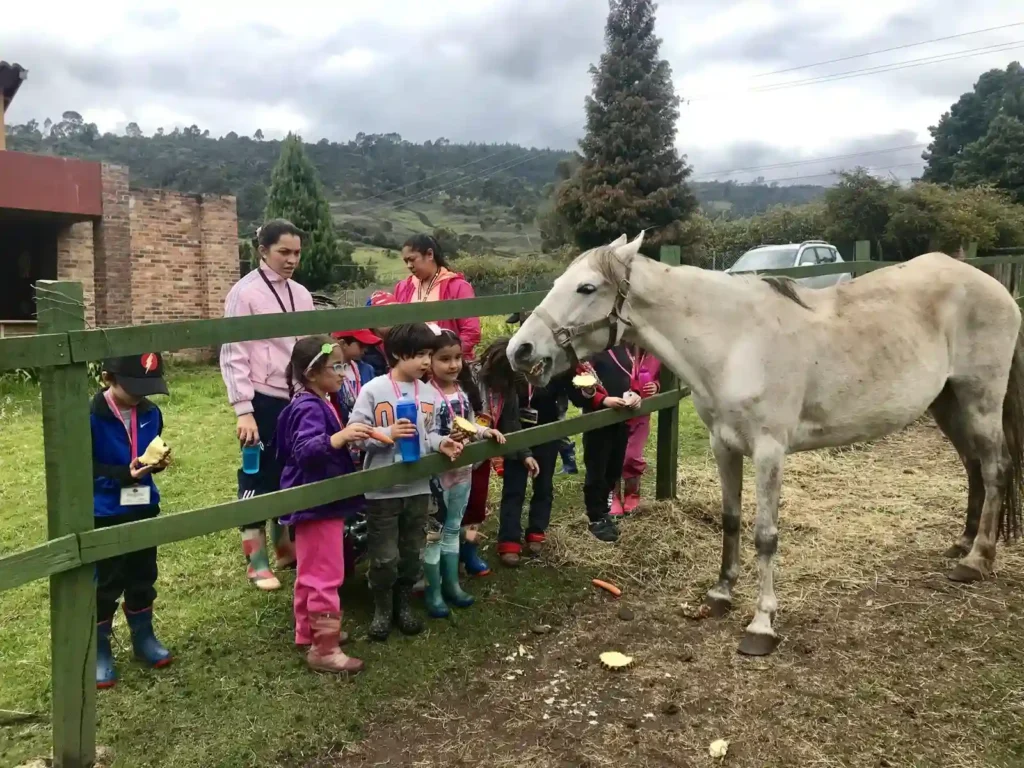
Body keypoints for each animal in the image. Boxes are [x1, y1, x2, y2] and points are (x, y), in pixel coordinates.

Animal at [506, 231, 1024, 656]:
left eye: (587, 288)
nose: (520, 350)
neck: (734, 342)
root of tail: (992, 284)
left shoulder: (769, 452)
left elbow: (765, 535)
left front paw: (761, 624)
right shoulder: (724, 445)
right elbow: (731, 520)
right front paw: (720, 594)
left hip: (979, 400)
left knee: (995, 467)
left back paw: (978, 560)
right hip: (948, 403)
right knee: (974, 467)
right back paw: (962, 544)